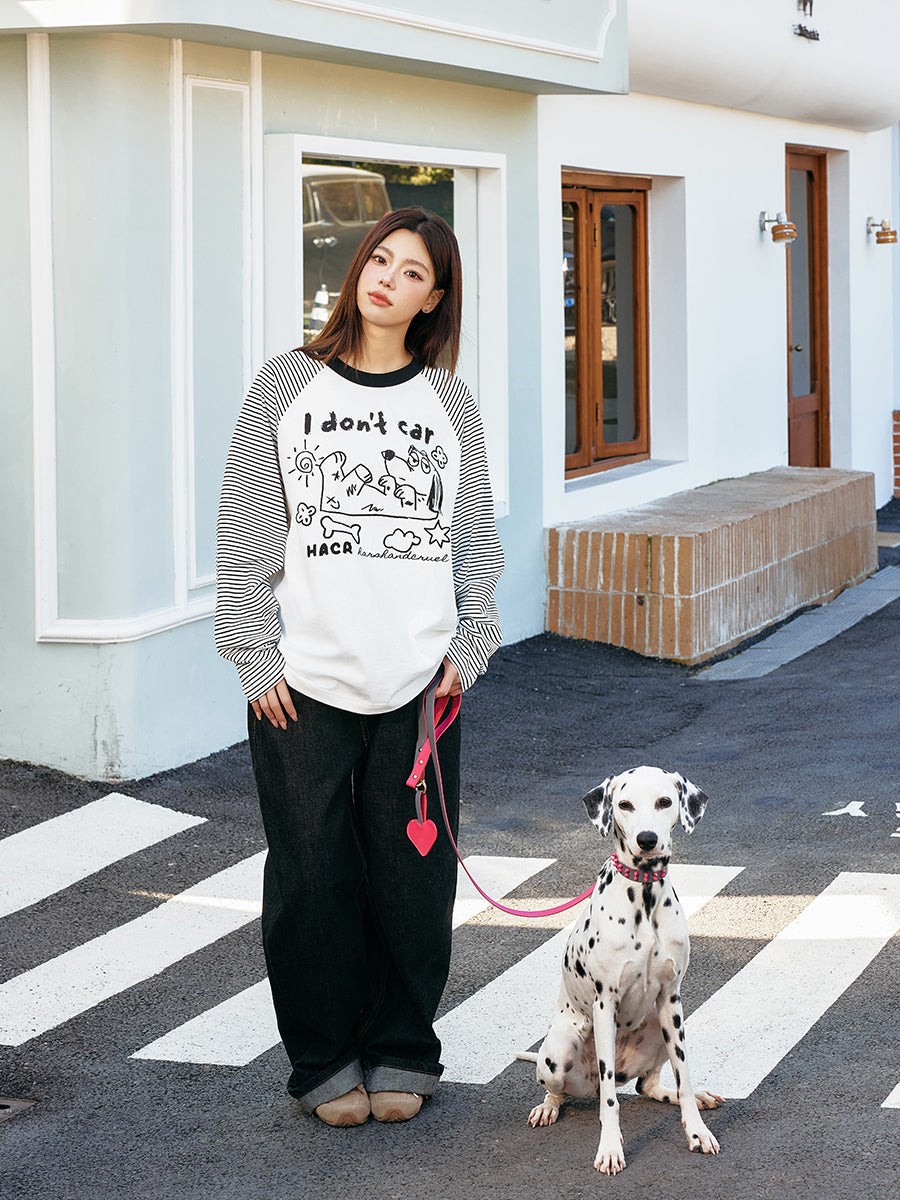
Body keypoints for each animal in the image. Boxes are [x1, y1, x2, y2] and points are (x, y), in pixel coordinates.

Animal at [528, 768, 724, 1171]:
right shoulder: (606, 1004)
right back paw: (547, 1108)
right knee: (566, 1090)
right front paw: (610, 1148)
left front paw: (697, 1131)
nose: (647, 840)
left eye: (665, 801)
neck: (644, 895)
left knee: (646, 1086)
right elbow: (610, 1102)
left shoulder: (671, 999)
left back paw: (692, 1096)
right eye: (624, 804)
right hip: (557, 1052)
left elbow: (684, 1077)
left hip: (664, 1027)